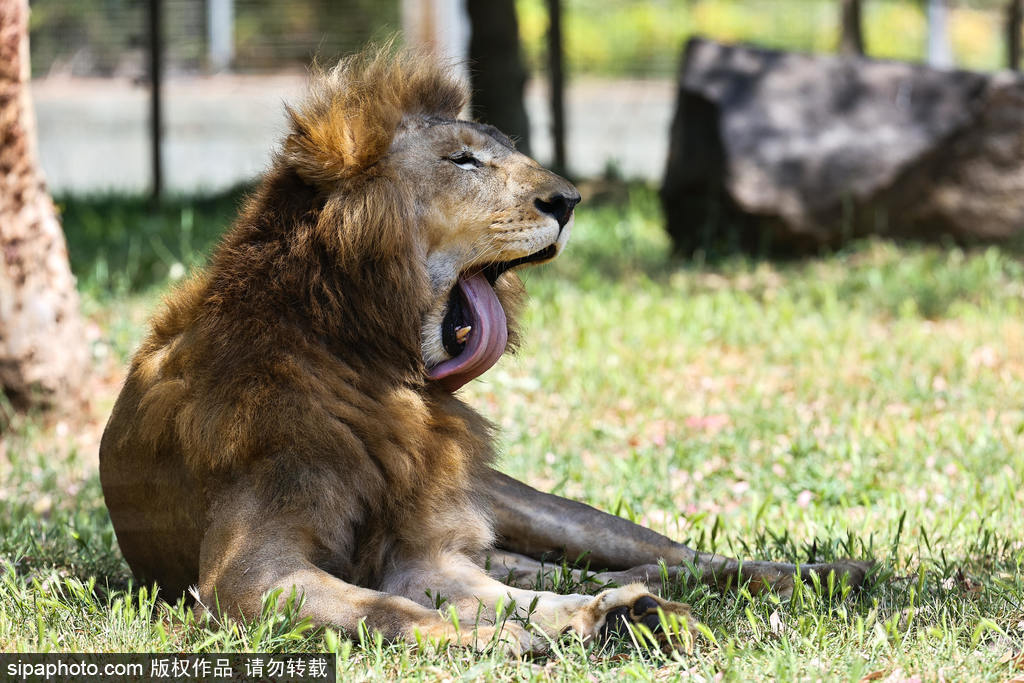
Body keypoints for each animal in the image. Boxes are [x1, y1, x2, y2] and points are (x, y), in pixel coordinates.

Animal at [97, 45, 864, 655]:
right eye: (463, 161)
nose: (570, 200)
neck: (372, 365)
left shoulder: (426, 550)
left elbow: (509, 599)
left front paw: (612, 619)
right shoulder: (244, 571)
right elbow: (392, 611)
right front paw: (521, 636)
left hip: (538, 508)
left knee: (678, 553)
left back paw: (825, 574)